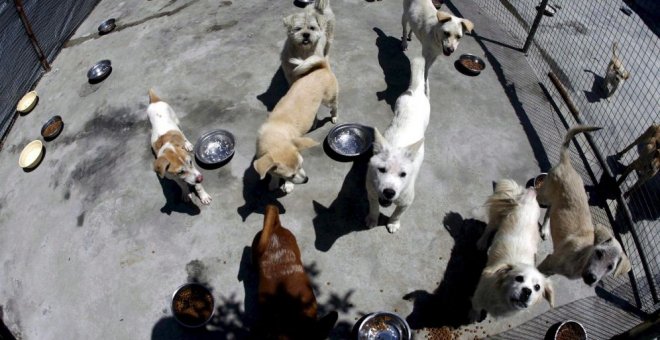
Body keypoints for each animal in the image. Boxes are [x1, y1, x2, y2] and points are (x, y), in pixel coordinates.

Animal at [251, 56, 338, 194]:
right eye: (291, 175)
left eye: (301, 165)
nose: (307, 179)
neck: (276, 134)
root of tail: (323, 67)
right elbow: (271, 172)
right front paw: (274, 181)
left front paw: (288, 185)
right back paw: (314, 123)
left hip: (328, 99)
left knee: (334, 106)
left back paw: (334, 116)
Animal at [472, 179, 556, 322]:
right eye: (519, 278)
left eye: (537, 287)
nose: (527, 291)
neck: (502, 298)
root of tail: (527, 197)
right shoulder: (478, 298)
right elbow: (476, 310)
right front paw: (474, 317)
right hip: (496, 219)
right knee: (489, 228)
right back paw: (482, 242)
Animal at [540, 126, 632, 286]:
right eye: (599, 253)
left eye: (610, 267)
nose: (591, 278)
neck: (581, 257)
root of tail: (568, 165)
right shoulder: (548, 262)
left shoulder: (550, 268)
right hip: (544, 195)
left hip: (554, 201)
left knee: (549, 211)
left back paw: (545, 230)